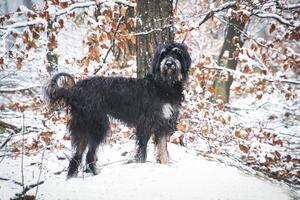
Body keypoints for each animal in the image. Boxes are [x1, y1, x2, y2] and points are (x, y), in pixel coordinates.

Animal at [43, 41, 191, 179]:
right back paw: (96, 174)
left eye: (176, 53)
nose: (169, 63)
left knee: (77, 155)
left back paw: (72, 177)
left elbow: (162, 148)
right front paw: (141, 165)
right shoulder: (146, 123)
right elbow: (143, 150)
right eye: (163, 54)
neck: (164, 85)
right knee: (89, 155)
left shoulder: (162, 123)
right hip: (96, 125)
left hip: (86, 126)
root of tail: (74, 90)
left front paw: (166, 165)